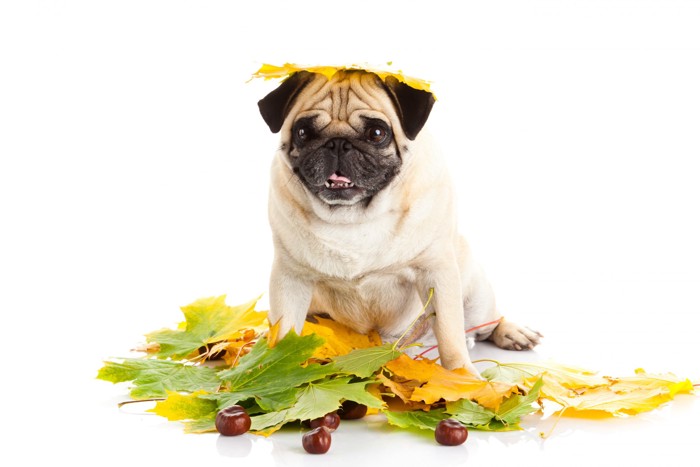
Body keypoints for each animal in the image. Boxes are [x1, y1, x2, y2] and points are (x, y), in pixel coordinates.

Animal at [258, 70, 540, 376]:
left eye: (377, 133)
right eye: (303, 133)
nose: (338, 143)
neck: (353, 217)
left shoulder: (436, 272)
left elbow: (450, 336)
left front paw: (463, 376)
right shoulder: (290, 279)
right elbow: (284, 331)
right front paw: (278, 371)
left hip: (474, 296)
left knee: (484, 323)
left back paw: (511, 332)